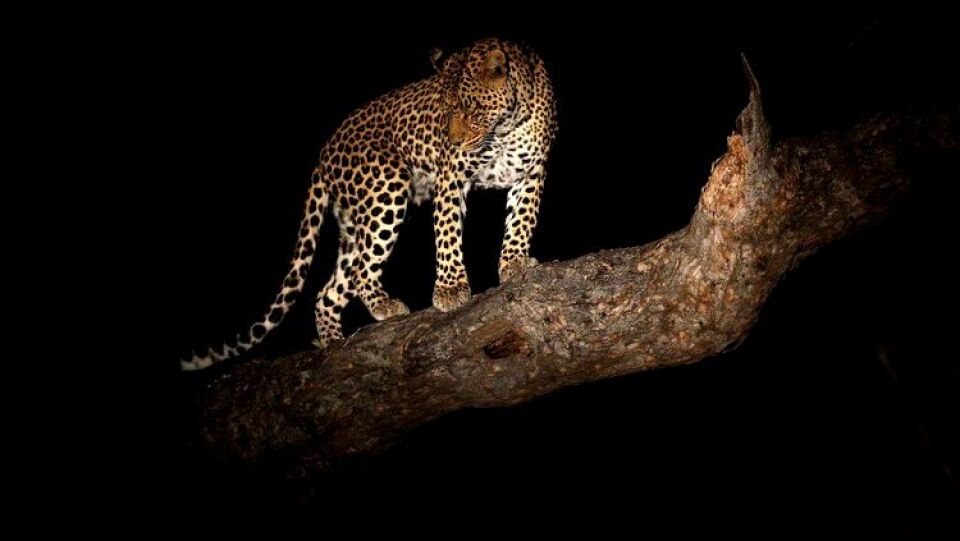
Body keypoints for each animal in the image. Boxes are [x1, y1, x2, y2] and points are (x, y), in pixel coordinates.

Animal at [181, 37, 557, 371]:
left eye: (470, 108)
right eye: (444, 110)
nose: (451, 140)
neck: (505, 128)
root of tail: (324, 153)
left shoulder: (532, 169)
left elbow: (522, 219)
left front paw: (514, 262)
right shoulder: (450, 176)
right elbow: (448, 233)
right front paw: (450, 289)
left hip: (355, 223)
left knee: (329, 291)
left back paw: (333, 343)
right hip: (387, 189)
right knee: (362, 271)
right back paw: (382, 306)